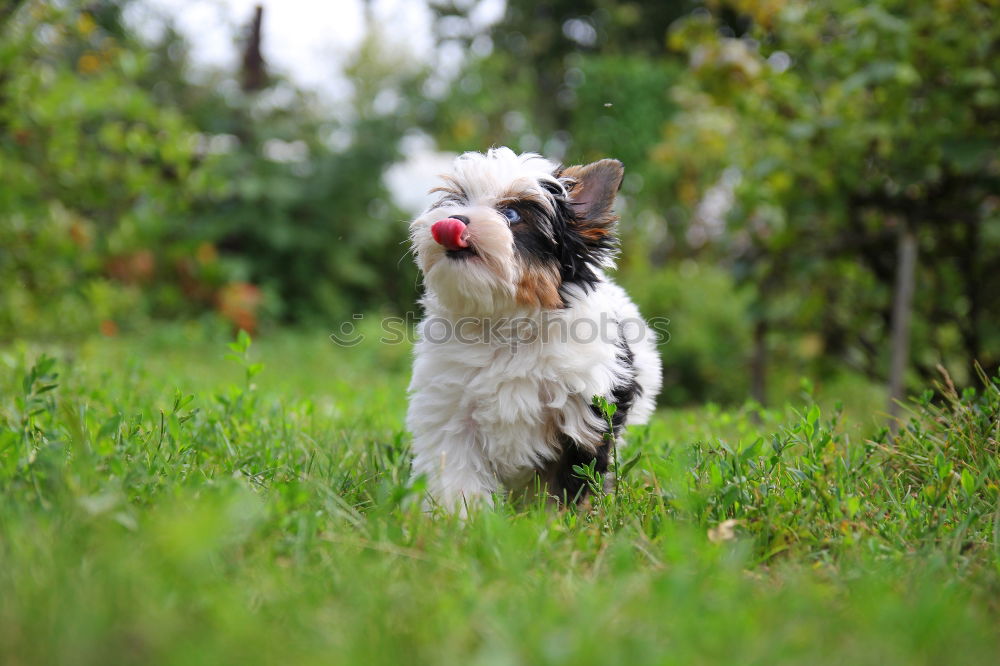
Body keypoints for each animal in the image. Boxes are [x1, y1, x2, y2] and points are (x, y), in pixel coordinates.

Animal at [402, 145, 660, 508]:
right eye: (458, 201)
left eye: (512, 215)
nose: (450, 221)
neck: (505, 322)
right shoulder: (450, 409)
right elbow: (455, 468)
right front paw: (459, 516)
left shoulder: (586, 418)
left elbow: (570, 482)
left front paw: (559, 519)